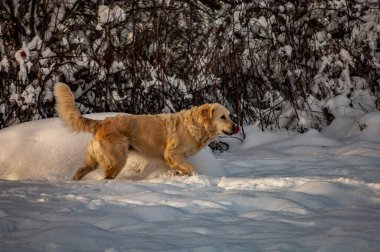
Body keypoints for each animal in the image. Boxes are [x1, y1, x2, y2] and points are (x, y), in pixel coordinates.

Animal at [54, 82, 238, 179]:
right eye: (222, 117)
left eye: (230, 116)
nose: (236, 127)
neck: (197, 126)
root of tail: (101, 122)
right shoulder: (172, 154)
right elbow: (191, 168)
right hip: (117, 159)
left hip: (94, 160)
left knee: (79, 171)